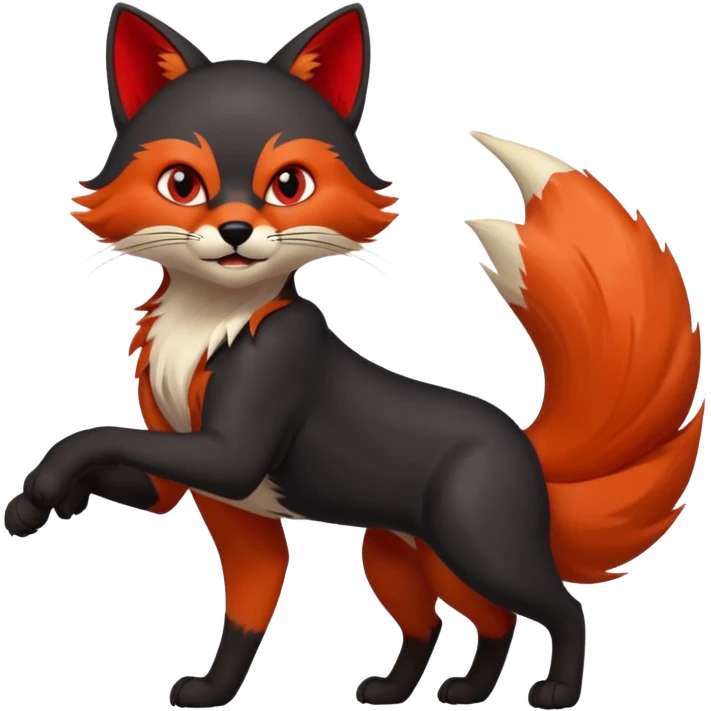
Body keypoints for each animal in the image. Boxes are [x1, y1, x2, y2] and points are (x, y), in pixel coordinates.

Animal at [5, 2, 703, 709]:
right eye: (183, 184)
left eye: (289, 185)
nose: (236, 231)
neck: (208, 324)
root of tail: (523, 441)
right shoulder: (199, 495)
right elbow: (237, 612)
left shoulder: (238, 442)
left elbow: (94, 436)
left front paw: (42, 490)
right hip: (404, 557)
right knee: (467, 623)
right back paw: (430, 690)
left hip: (478, 547)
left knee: (559, 607)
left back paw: (555, 690)